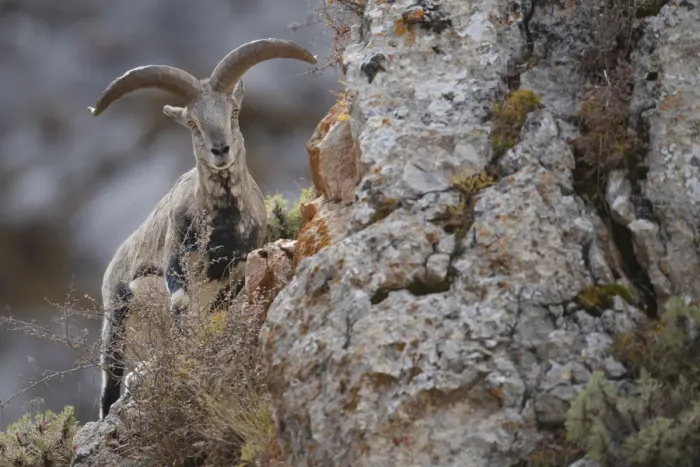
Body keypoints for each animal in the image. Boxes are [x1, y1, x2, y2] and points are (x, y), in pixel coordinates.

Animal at [88, 38, 317, 419]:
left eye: (233, 113)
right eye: (192, 123)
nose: (220, 149)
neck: (222, 226)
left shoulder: (237, 273)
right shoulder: (176, 262)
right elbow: (181, 306)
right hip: (116, 320)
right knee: (110, 385)